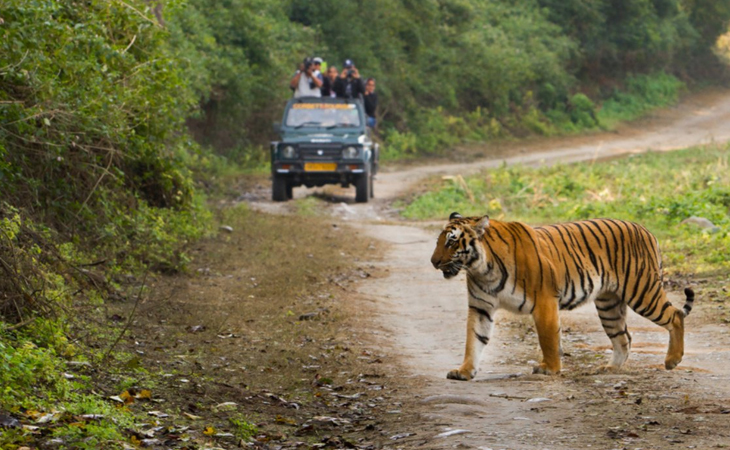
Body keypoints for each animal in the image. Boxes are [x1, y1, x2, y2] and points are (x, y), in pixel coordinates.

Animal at [430, 213, 692, 382]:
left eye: (452, 241)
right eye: (439, 241)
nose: (433, 262)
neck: (481, 268)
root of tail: (646, 230)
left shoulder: (544, 301)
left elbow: (548, 338)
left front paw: (550, 368)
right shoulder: (480, 307)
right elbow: (473, 340)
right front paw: (464, 371)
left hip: (642, 291)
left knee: (675, 315)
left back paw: (672, 360)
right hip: (609, 304)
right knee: (623, 337)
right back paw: (609, 369)